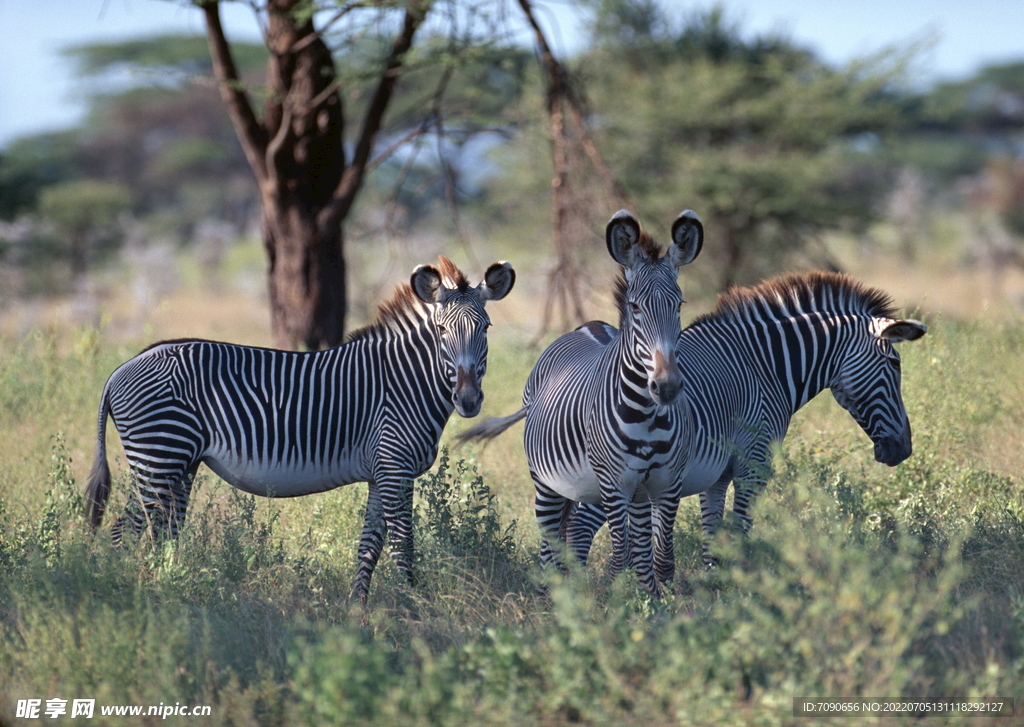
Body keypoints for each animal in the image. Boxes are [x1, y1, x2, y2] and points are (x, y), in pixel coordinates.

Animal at [83, 259, 516, 602]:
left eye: (486, 328)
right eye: (441, 331)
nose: (468, 400)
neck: (407, 381)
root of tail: (122, 368)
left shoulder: (381, 473)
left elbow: (369, 546)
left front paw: (359, 610)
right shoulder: (395, 467)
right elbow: (402, 546)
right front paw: (413, 608)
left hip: (178, 464)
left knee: (161, 530)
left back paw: (162, 587)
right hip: (159, 455)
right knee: (129, 531)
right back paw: (134, 592)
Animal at [458, 210, 704, 597]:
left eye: (679, 305)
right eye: (635, 307)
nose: (666, 387)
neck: (647, 417)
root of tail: (589, 325)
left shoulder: (667, 483)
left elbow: (660, 559)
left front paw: (655, 605)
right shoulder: (614, 485)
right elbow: (620, 559)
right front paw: (617, 603)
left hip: (625, 493)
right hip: (547, 482)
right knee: (549, 544)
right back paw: (554, 596)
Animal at [565, 270, 933, 577]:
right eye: (895, 363)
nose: (904, 449)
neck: (765, 367)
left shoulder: (718, 472)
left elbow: (712, 532)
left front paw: (714, 584)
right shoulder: (754, 463)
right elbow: (740, 529)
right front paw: (743, 592)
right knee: (581, 529)